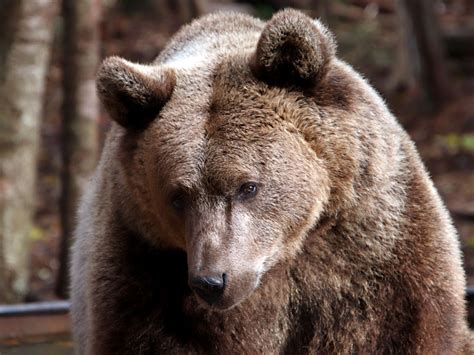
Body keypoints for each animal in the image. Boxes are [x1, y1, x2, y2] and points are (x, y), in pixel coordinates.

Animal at [70, 8, 474, 355]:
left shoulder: (374, 252)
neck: (284, 258)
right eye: (177, 197)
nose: (211, 281)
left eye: (248, 186)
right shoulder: (143, 269)